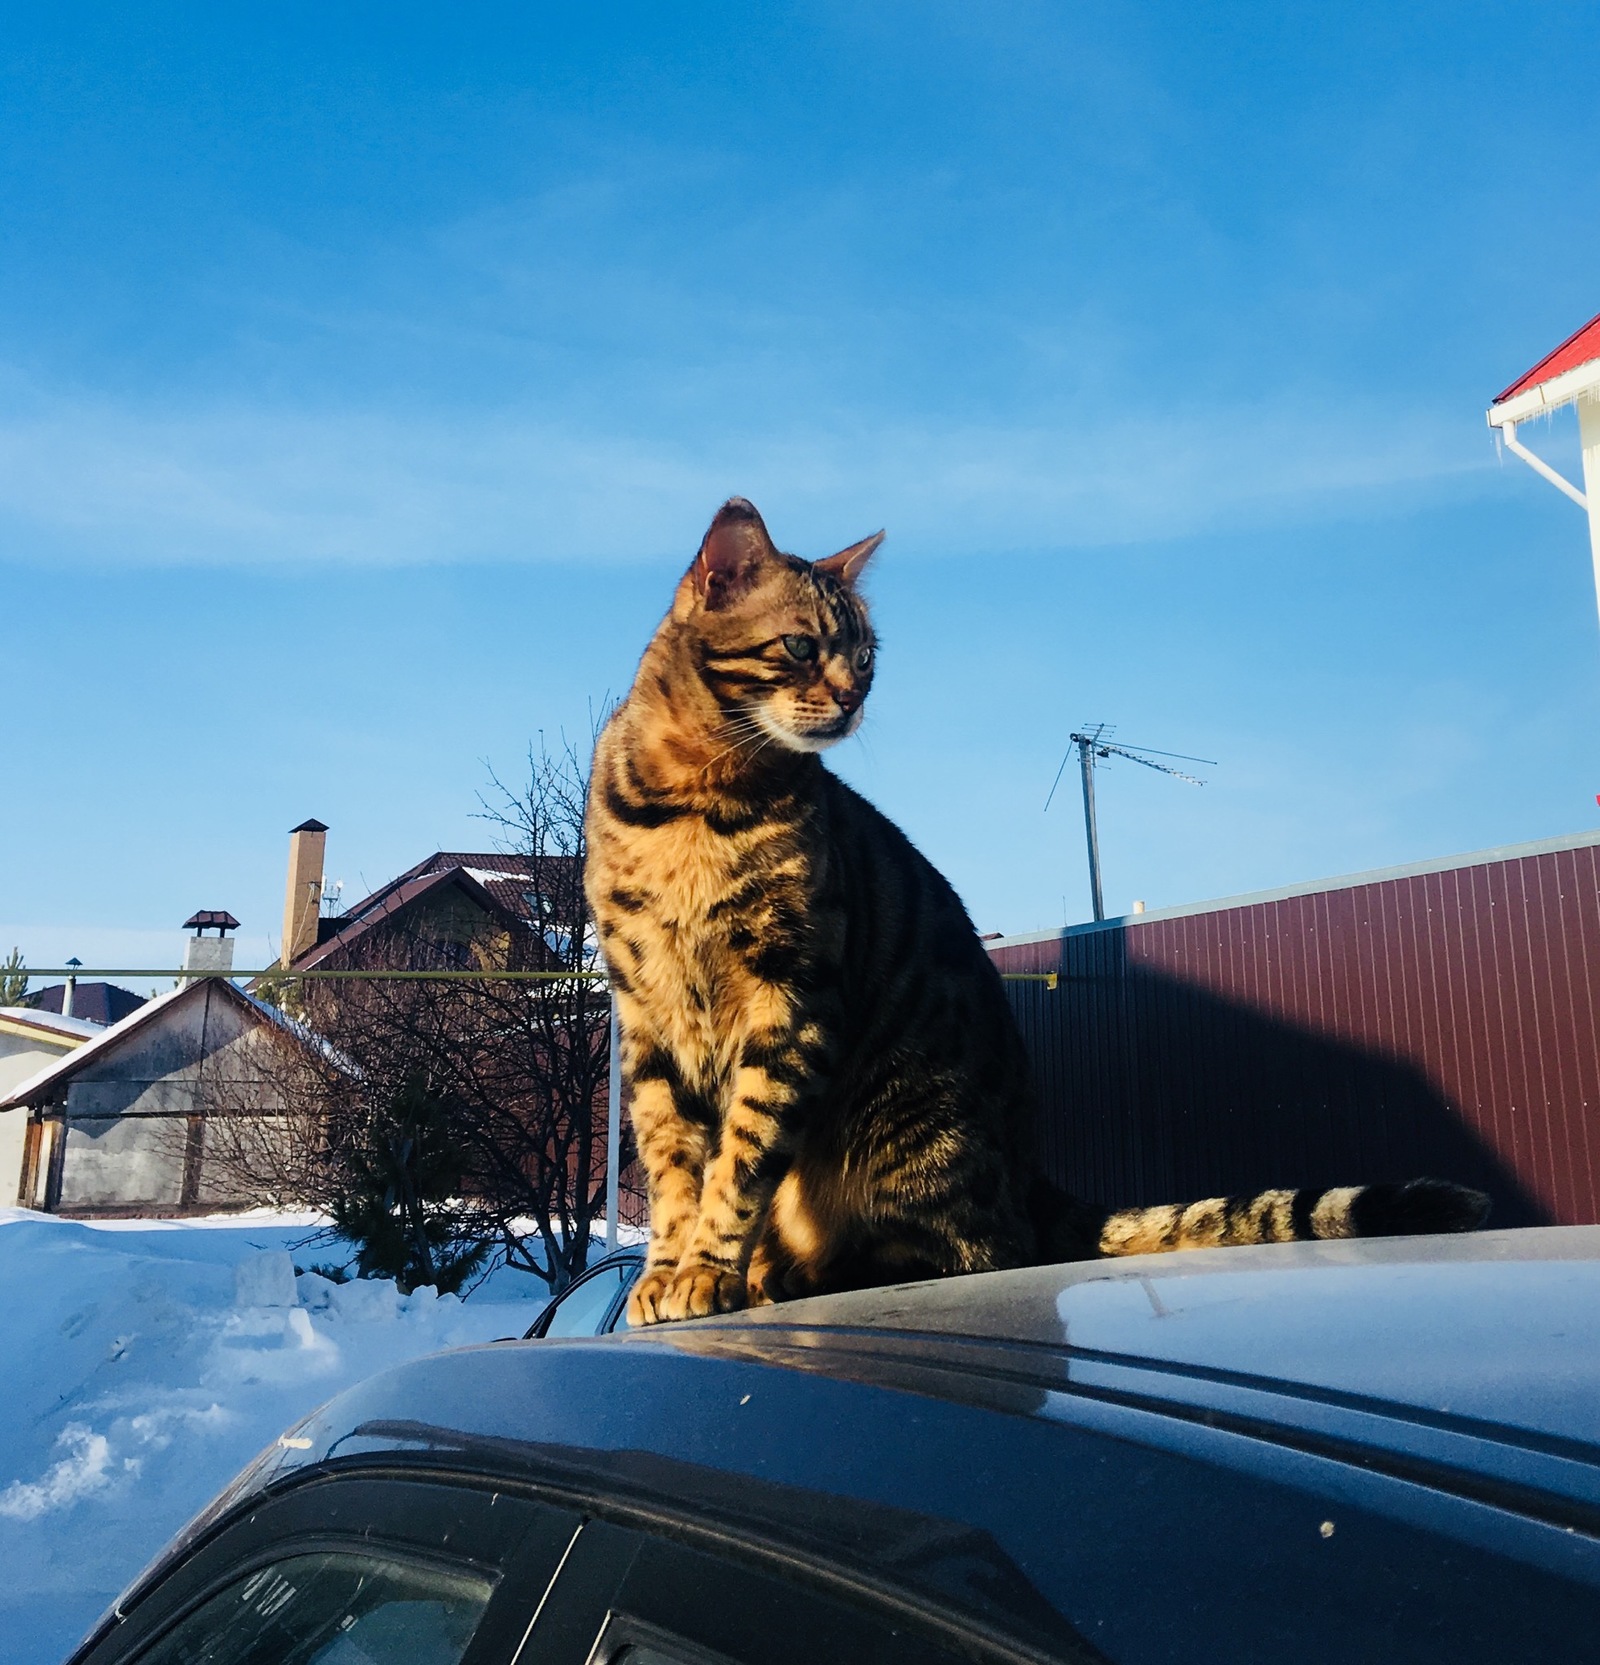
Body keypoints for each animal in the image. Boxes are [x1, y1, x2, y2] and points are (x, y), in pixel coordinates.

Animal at [582, 496, 1485, 1325]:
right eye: (802, 646)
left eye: (866, 658)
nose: (851, 701)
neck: (695, 798)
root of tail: (1034, 1171)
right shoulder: (648, 1019)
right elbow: (674, 1167)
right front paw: (666, 1271)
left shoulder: (790, 997)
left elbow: (740, 1161)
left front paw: (706, 1270)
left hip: (914, 1125)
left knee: (982, 1244)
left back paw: (805, 1273)